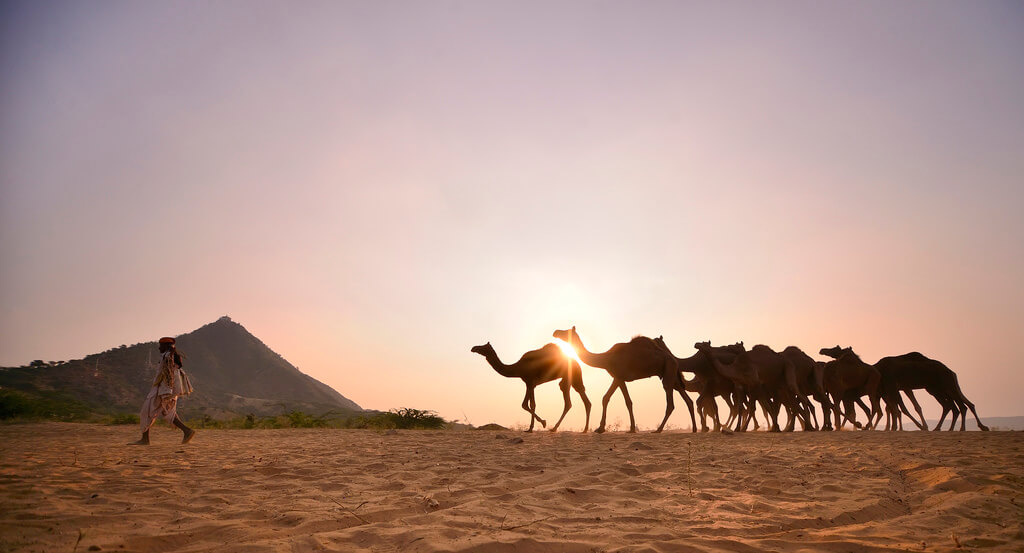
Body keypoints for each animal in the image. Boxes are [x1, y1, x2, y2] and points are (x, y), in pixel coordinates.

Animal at [552, 326, 693, 433]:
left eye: (566, 331)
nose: (555, 332)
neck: (606, 358)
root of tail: (674, 359)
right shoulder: (617, 377)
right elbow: (606, 398)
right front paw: (600, 428)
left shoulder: (620, 377)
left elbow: (627, 401)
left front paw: (631, 429)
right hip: (672, 376)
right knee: (686, 397)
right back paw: (695, 429)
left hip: (668, 372)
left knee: (670, 403)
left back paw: (658, 429)